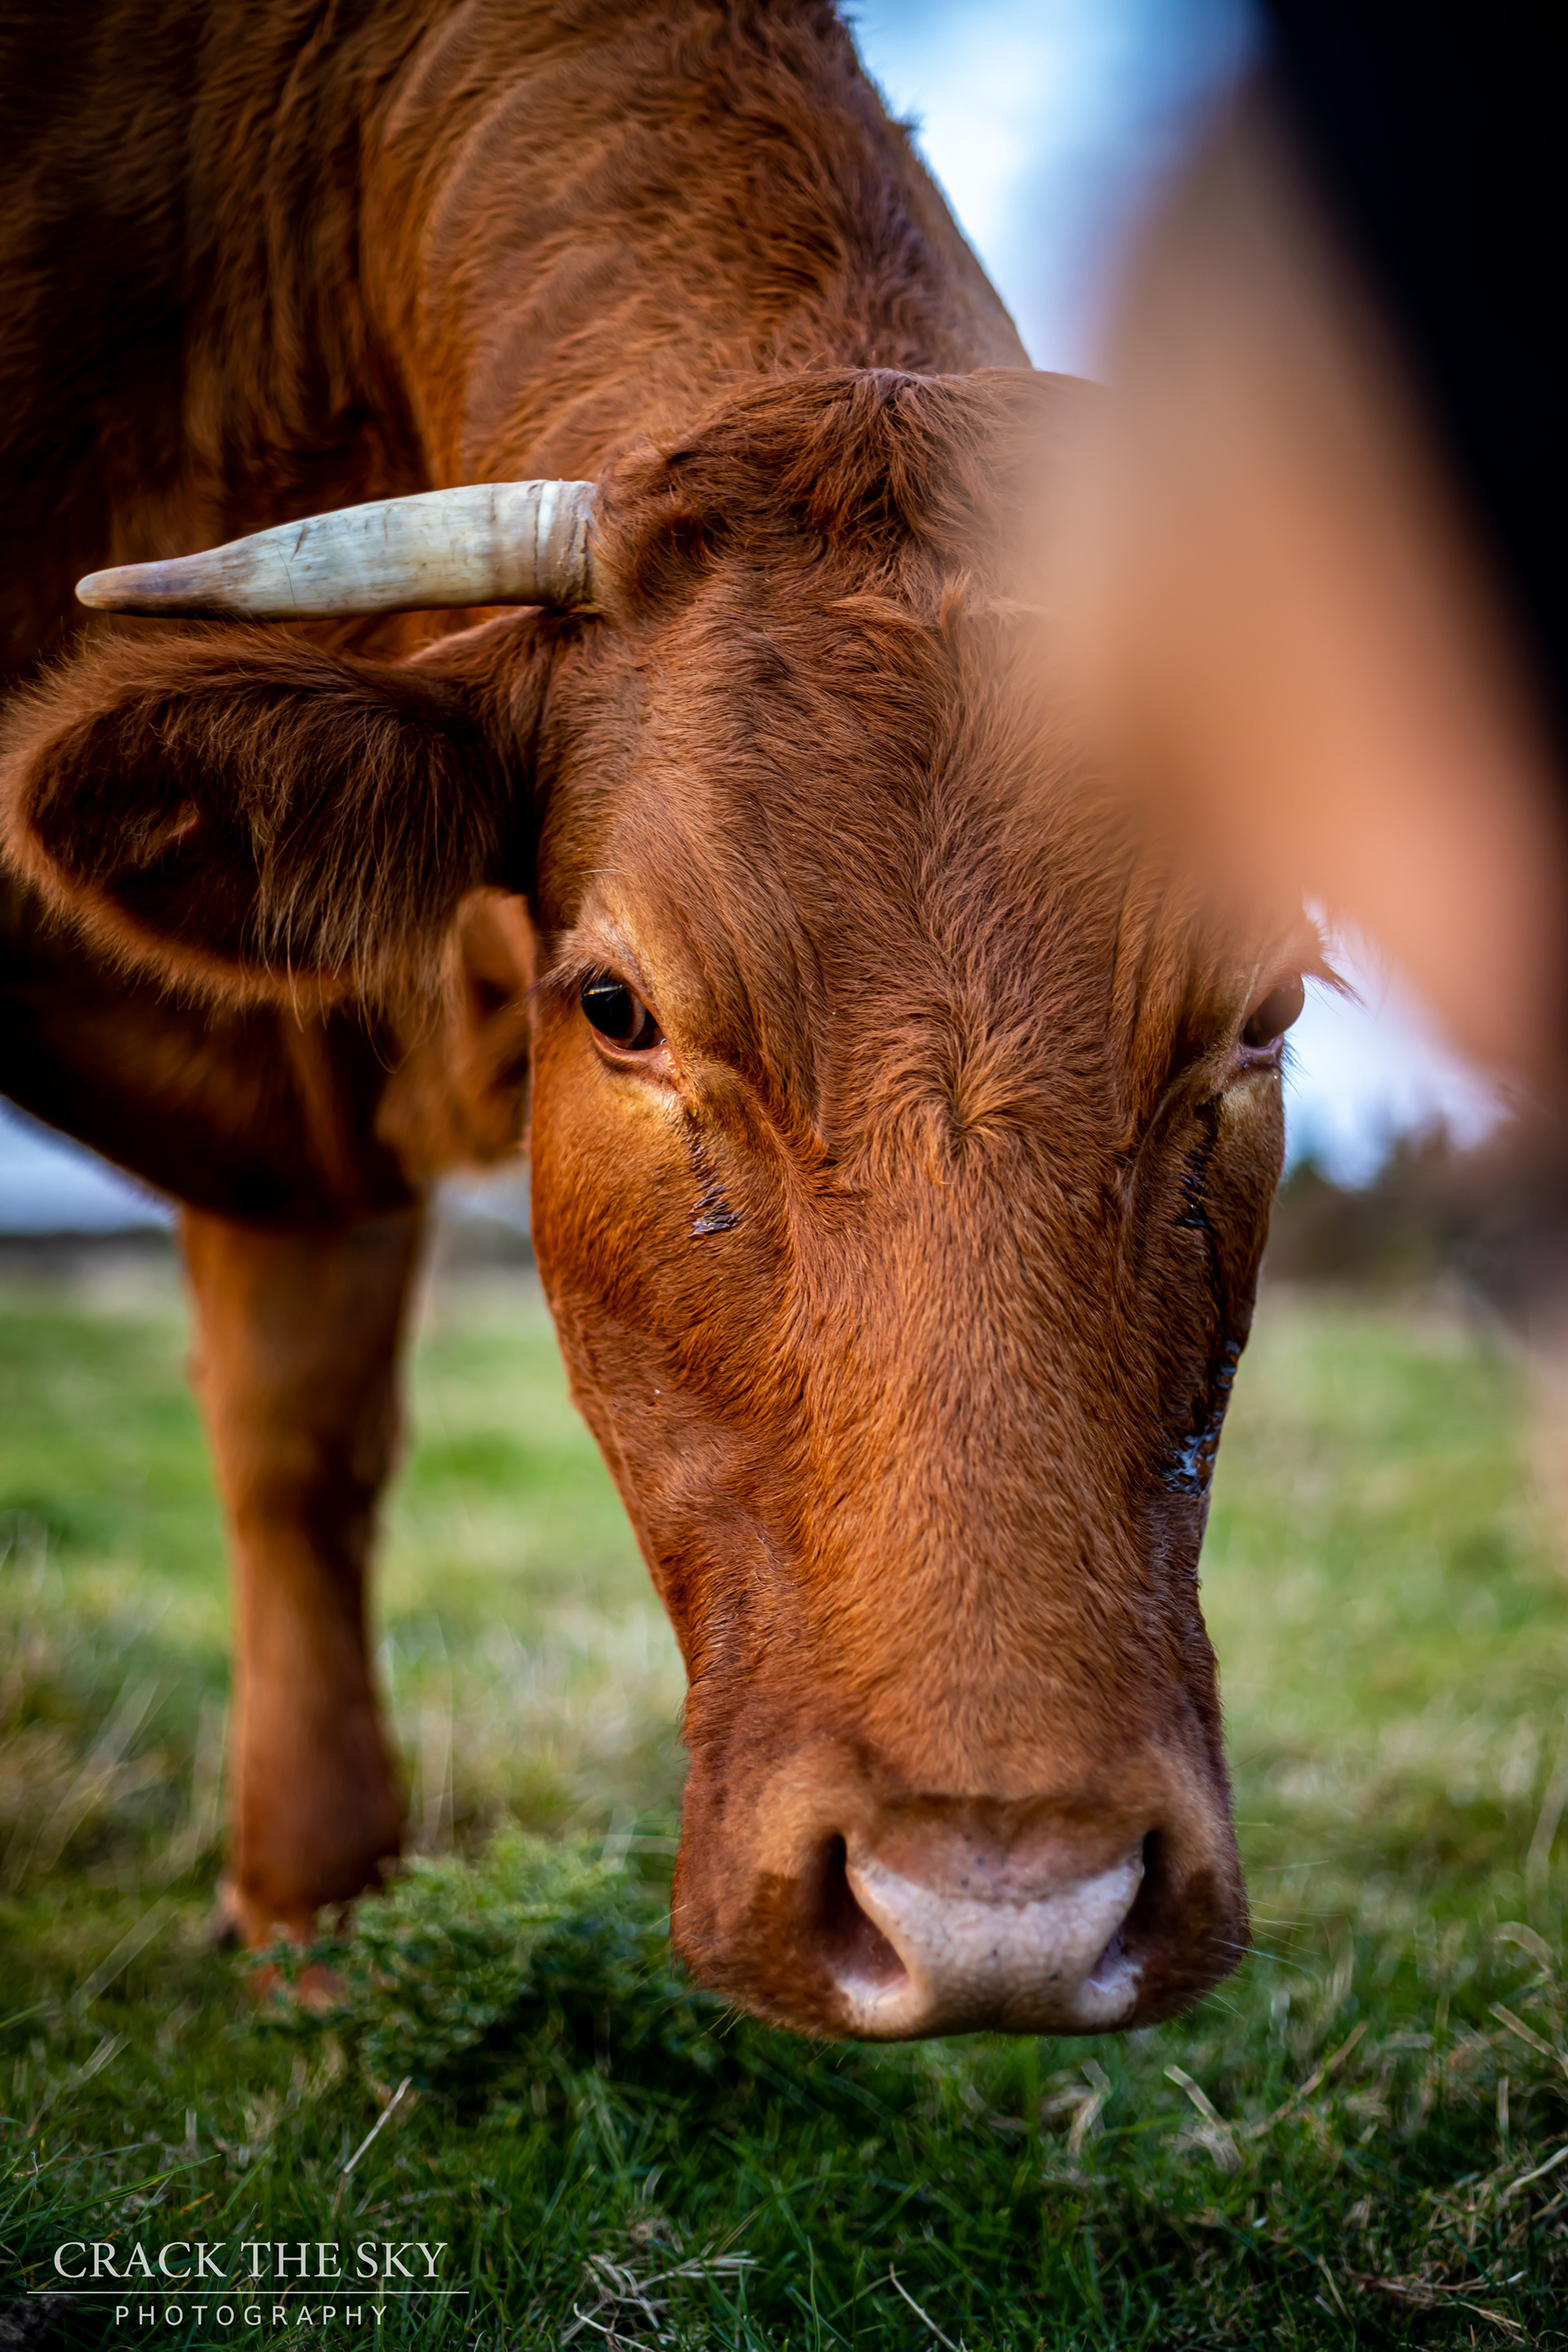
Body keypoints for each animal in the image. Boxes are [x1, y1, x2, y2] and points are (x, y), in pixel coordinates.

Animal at [0, 0, 1310, 2039]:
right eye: (617, 1007)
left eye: (1268, 1005)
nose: (1003, 1914)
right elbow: (291, 1443)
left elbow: (304, 1442)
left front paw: (310, 1912)